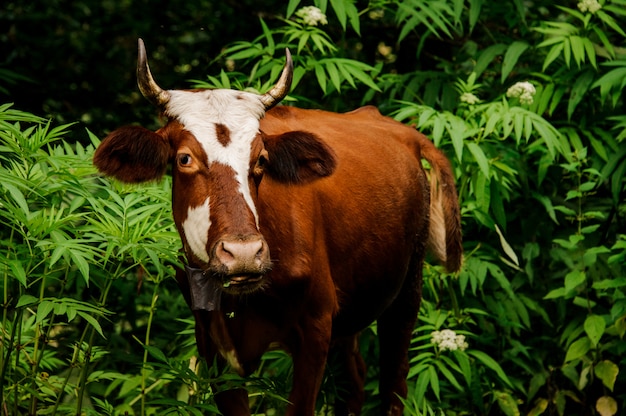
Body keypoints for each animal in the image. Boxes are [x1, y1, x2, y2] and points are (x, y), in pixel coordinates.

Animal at [94, 39, 464, 416]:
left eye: (260, 159)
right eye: (184, 158)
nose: (243, 253)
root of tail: (406, 132)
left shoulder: (316, 327)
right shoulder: (210, 342)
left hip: (406, 291)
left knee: (393, 383)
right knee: (354, 381)